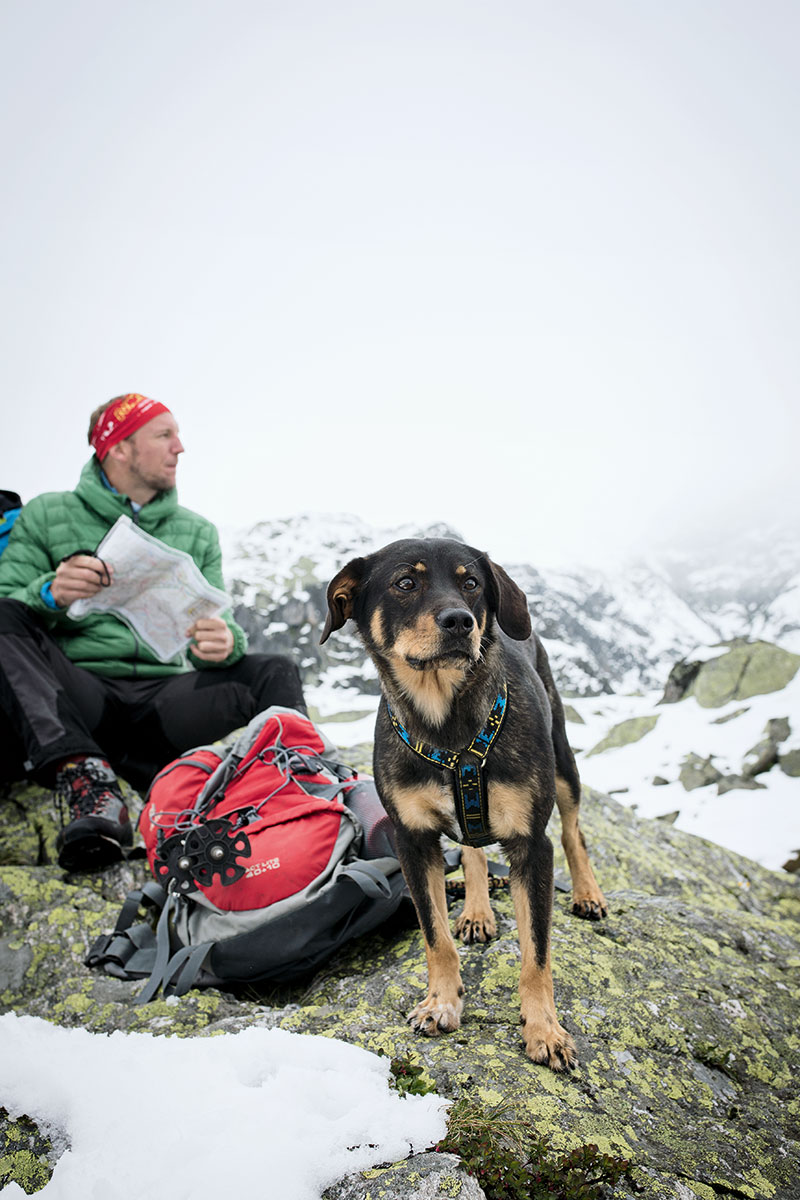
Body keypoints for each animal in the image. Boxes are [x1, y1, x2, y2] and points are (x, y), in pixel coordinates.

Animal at [319, 540, 606, 1075]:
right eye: (405, 583)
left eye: (470, 582)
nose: (459, 621)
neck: (444, 721)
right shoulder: (412, 841)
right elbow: (434, 936)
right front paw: (442, 1002)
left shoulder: (530, 846)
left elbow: (537, 952)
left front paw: (544, 1030)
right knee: (472, 847)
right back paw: (476, 909)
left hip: (563, 760)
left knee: (572, 830)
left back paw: (587, 893)